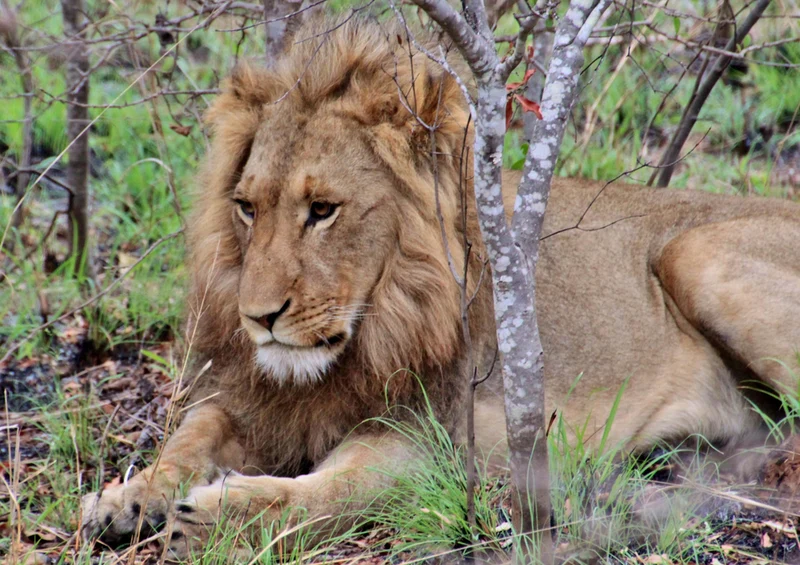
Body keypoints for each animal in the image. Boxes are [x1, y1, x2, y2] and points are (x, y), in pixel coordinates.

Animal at [81, 16, 800, 557]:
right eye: (247, 208)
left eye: (323, 210)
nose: (258, 317)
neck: (379, 319)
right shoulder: (255, 400)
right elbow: (189, 435)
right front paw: (127, 497)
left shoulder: (441, 443)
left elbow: (335, 491)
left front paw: (219, 514)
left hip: (694, 251)